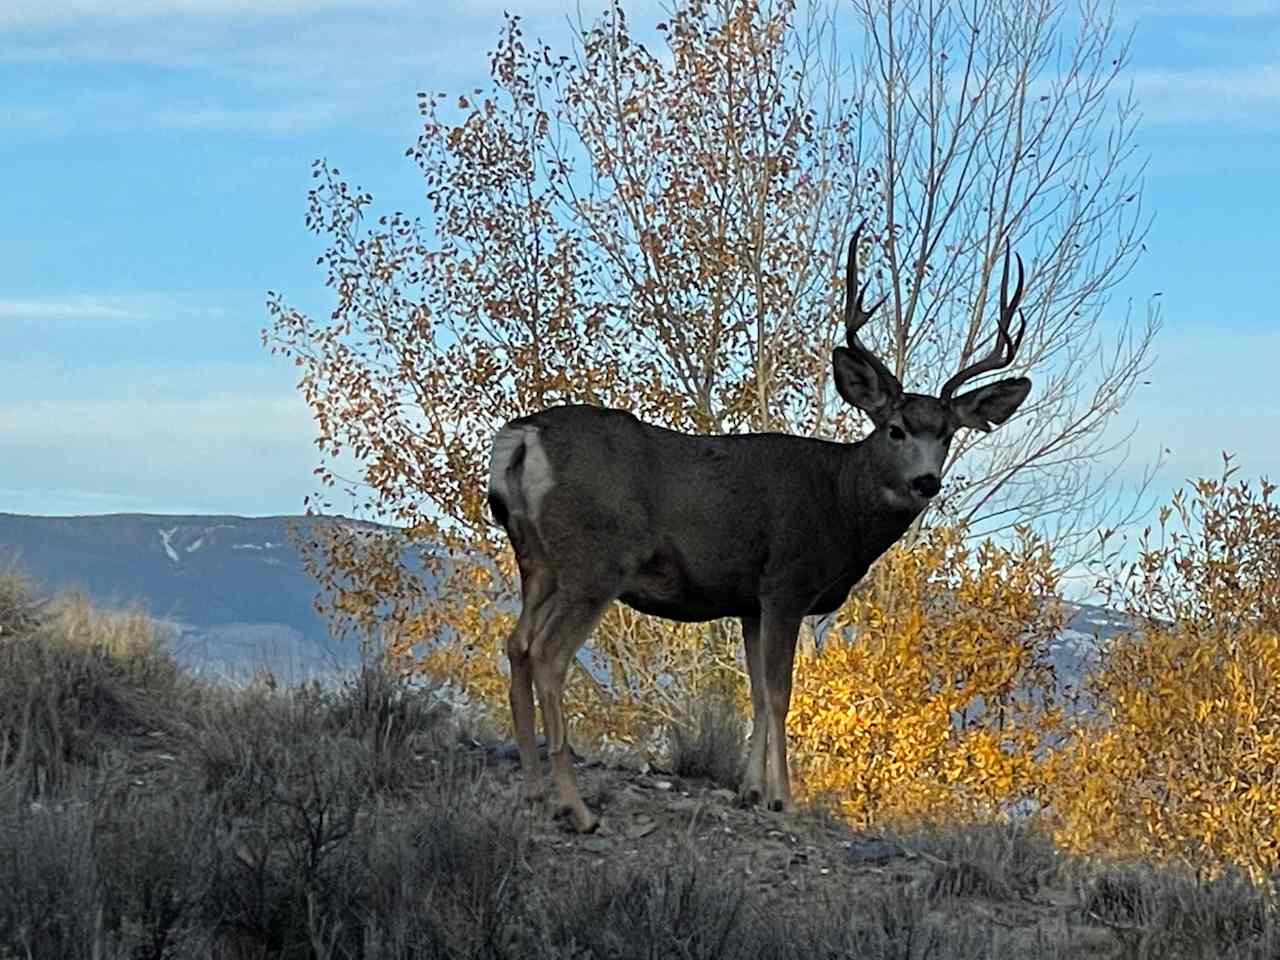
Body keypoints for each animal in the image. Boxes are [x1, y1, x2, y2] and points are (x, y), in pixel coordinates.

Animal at [483, 225, 1034, 834]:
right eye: (895, 429)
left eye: (948, 435)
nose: (925, 482)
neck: (839, 501)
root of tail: (524, 435)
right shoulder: (786, 583)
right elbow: (780, 693)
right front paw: (784, 799)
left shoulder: (749, 601)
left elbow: (754, 691)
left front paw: (749, 790)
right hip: (595, 560)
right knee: (548, 655)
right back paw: (576, 808)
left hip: (536, 559)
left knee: (517, 644)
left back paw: (535, 791)